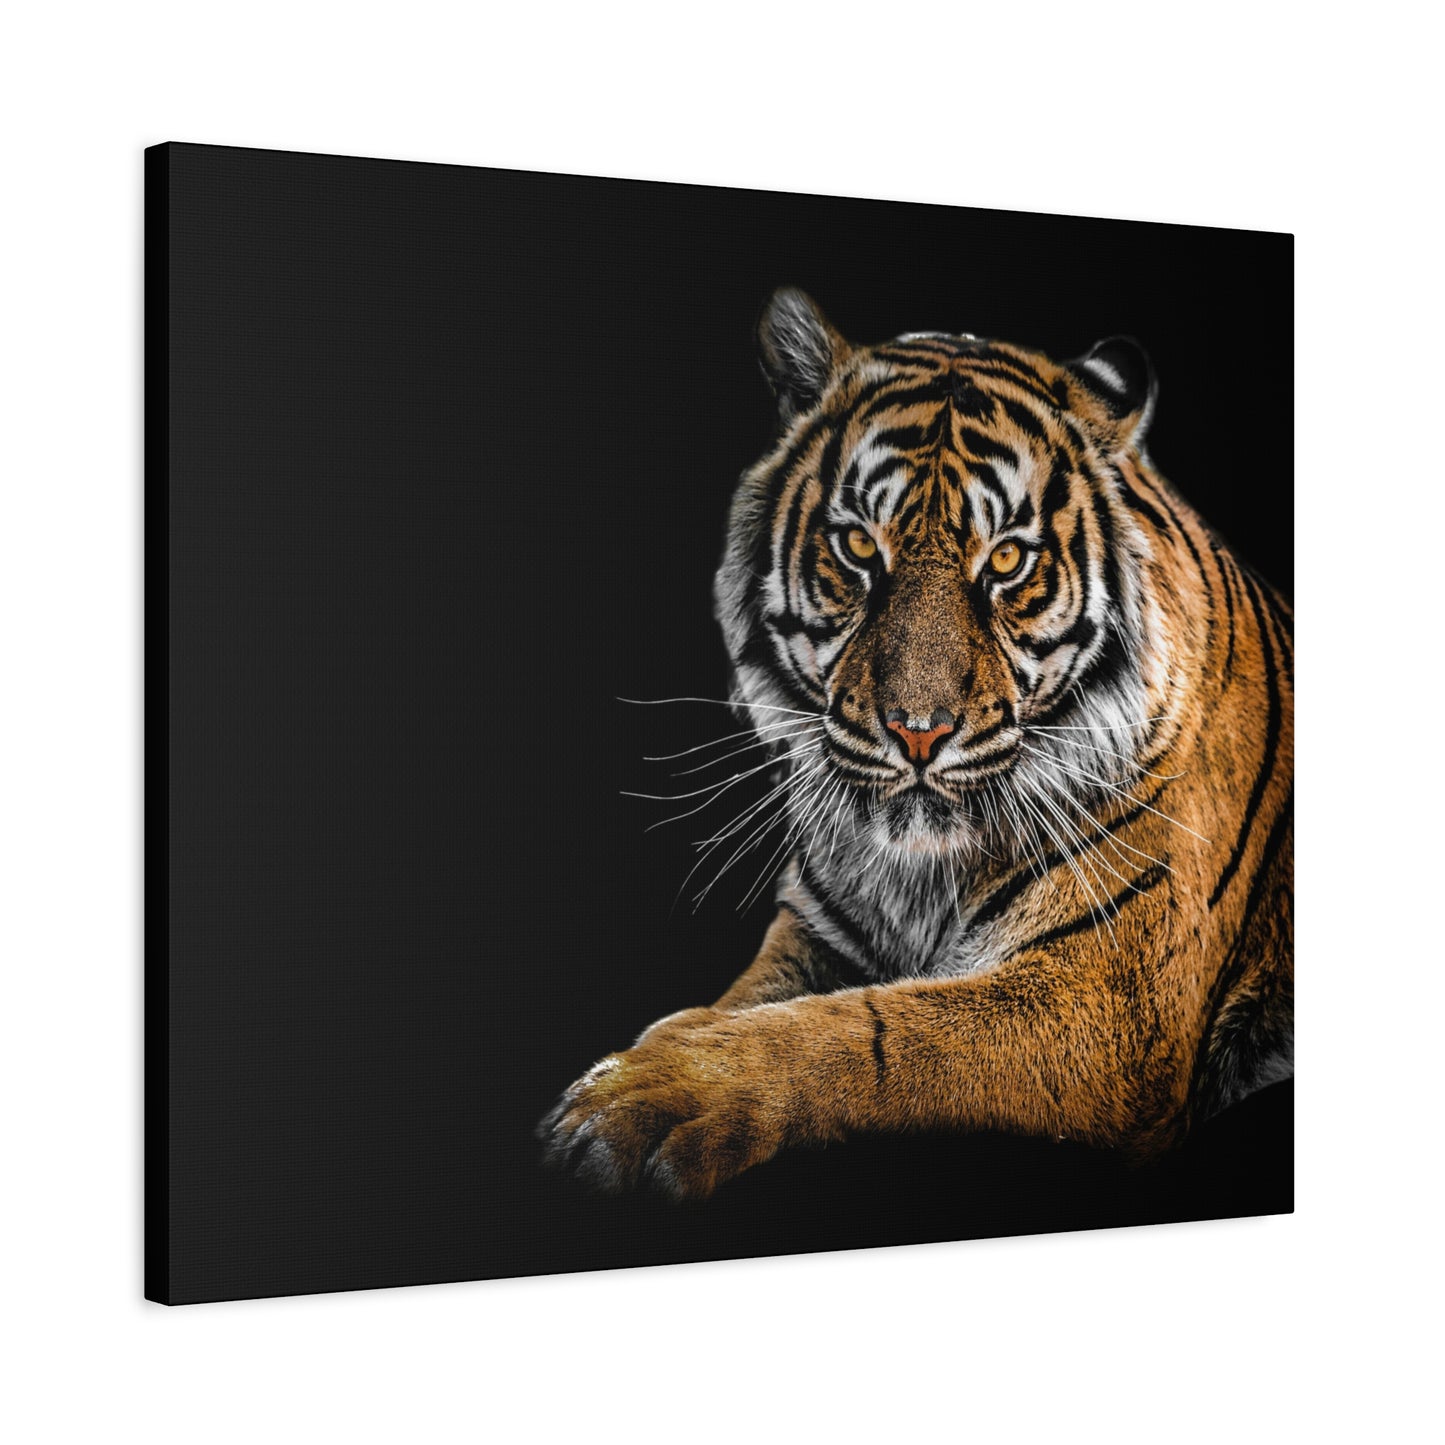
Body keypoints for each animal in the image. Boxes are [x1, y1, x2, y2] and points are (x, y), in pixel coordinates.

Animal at [539, 288, 1293, 1200]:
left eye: (1006, 560)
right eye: (859, 545)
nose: (917, 732)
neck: (918, 875)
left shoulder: (1105, 1000)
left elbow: (868, 1031)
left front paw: (648, 1092)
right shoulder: (816, 932)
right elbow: (751, 1000)